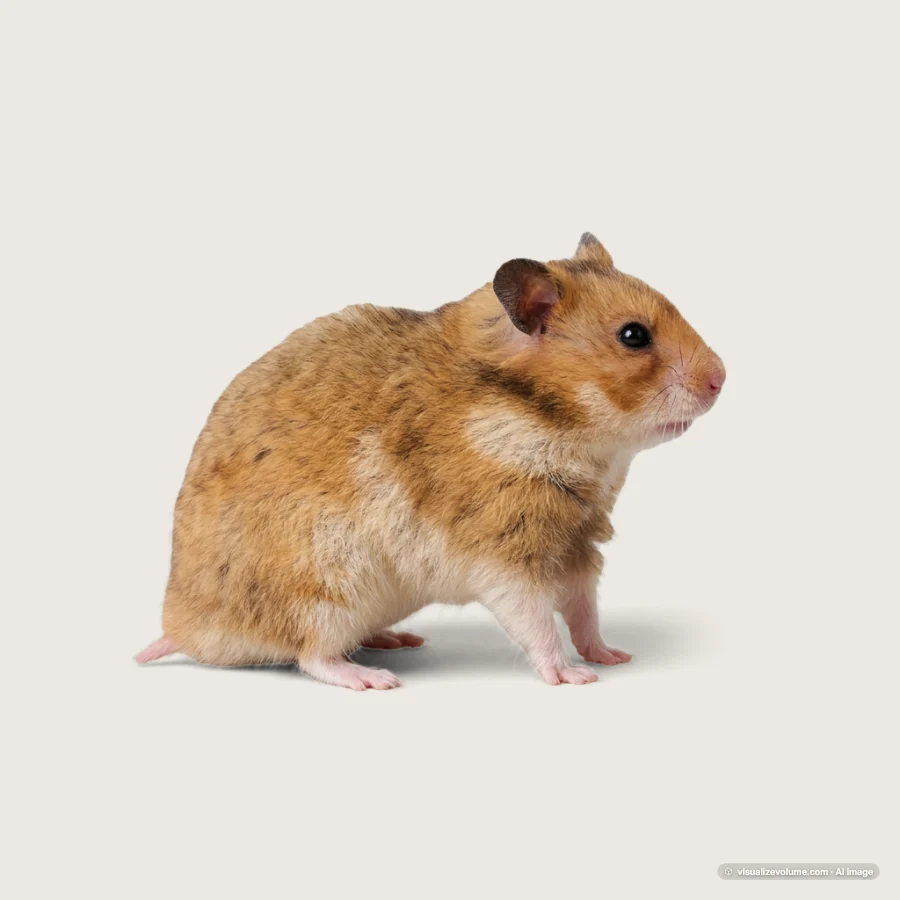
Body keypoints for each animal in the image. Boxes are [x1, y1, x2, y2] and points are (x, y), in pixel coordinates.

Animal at [137, 233, 725, 689]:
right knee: (312, 654)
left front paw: (614, 657)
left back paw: (397, 639)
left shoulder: (579, 544)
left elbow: (584, 611)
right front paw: (574, 677)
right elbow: (536, 620)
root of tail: (183, 625)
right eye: (633, 336)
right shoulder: (506, 552)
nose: (722, 378)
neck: (550, 422)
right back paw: (374, 678)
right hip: (322, 583)